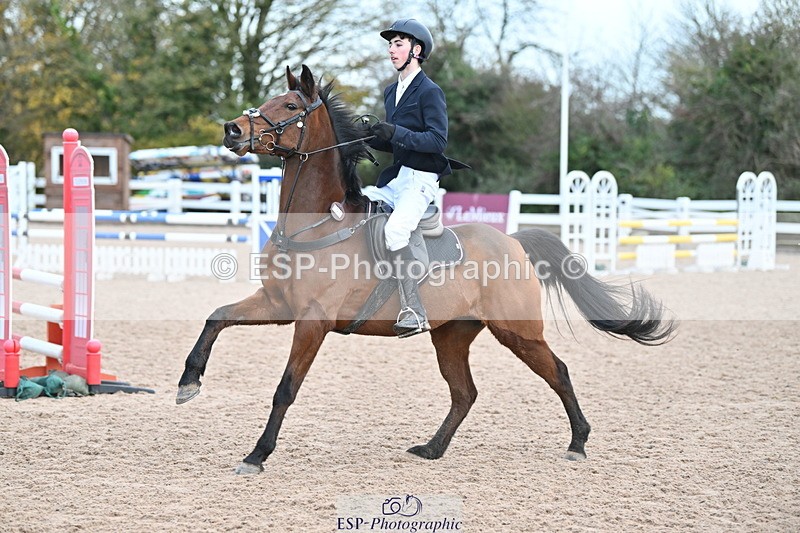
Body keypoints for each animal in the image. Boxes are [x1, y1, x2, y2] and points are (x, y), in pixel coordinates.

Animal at [177, 65, 676, 475]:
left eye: (291, 107)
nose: (231, 130)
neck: (318, 223)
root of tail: (513, 241)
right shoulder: (278, 305)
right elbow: (216, 317)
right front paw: (188, 383)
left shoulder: (312, 322)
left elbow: (285, 389)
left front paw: (257, 455)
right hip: (451, 334)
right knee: (465, 392)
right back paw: (433, 449)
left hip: (517, 331)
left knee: (559, 372)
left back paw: (578, 443)